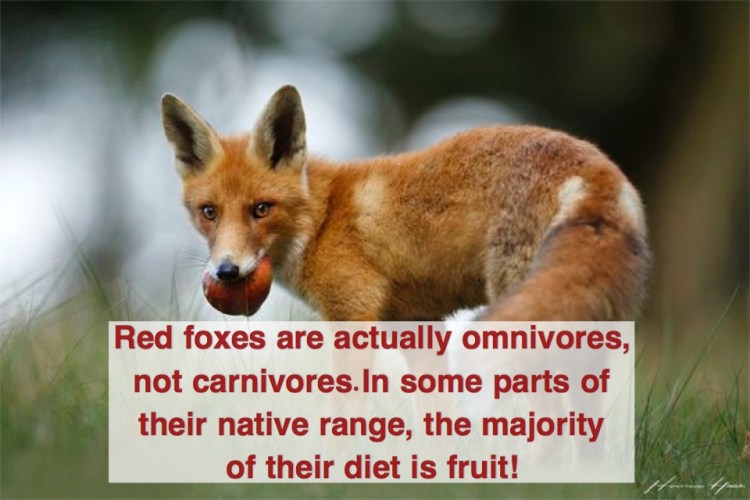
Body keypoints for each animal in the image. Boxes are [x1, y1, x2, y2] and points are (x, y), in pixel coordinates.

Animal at [161, 85, 650, 322]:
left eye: (261, 209)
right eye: (209, 213)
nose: (226, 271)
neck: (323, 221)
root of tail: (593, 165)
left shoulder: (354, 310)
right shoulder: (416, 320)